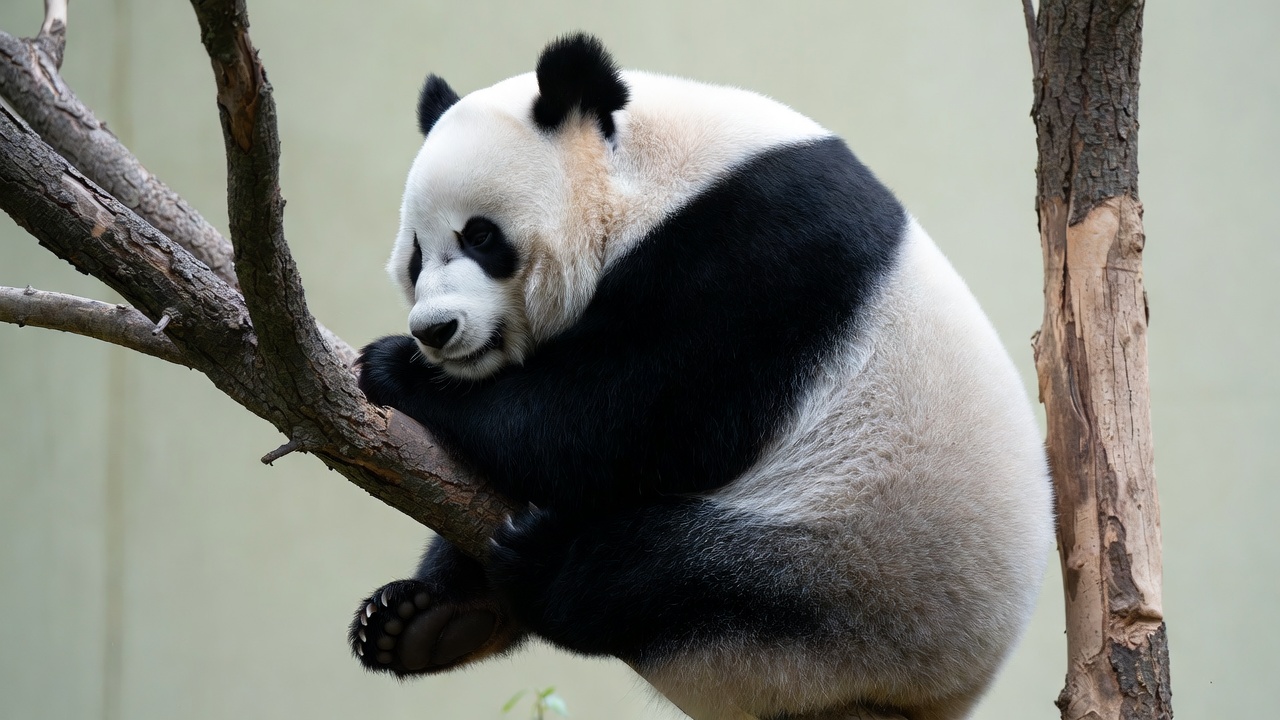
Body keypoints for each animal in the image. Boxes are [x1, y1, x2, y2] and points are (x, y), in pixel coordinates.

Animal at [350, 34, 1052, 720]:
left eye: (481, 236)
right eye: (416, 256)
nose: (435, 329)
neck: (658, 179)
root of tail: (943, 697)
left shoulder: (758, 253)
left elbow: (619, 421)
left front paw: (393, 369)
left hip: (860, 568)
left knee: (675, 575)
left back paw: (543, 567)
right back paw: (426, 622)